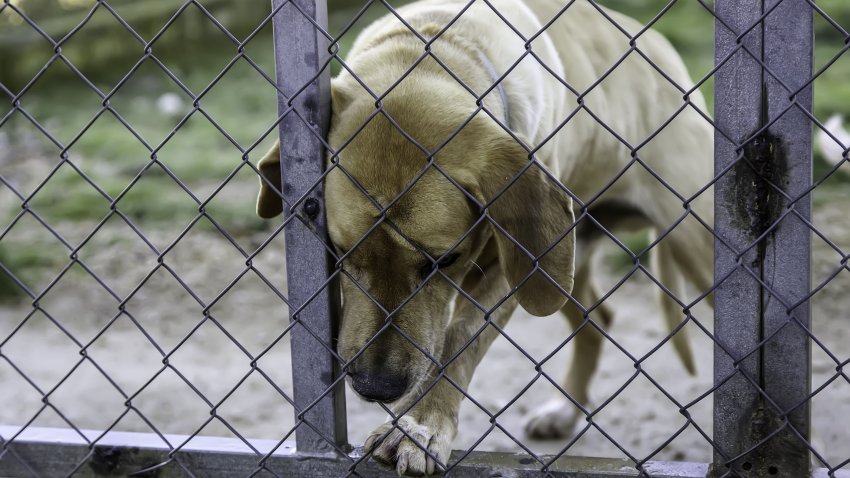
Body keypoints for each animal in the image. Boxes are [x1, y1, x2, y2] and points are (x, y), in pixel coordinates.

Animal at [255, 0, 712, 474]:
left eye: (443, 262)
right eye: (342, 252)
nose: (375, 387)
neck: (435, 46)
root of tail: (660, 45)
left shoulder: (509, 271)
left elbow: (460, 341)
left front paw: (419, 426)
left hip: (692, 243)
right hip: (563, 266)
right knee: (596, 319)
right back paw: (565, 412)